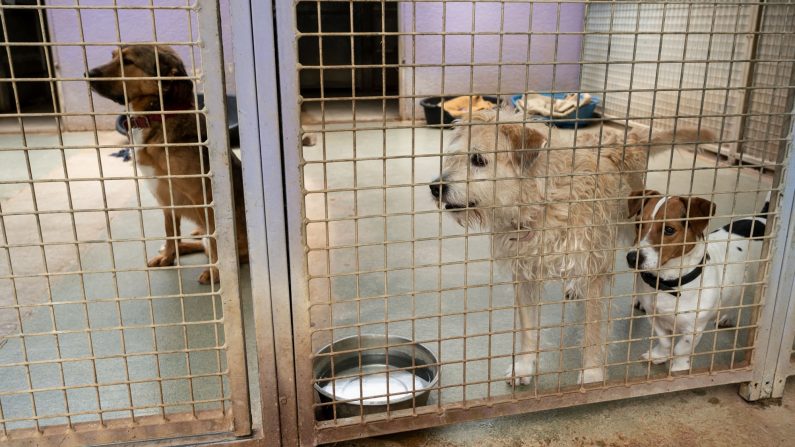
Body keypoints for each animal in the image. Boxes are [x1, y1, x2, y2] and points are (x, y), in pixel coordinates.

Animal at [88, 44, 247, 284]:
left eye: (128, 61)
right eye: (113, 56)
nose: (87, 73)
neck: (157, 117)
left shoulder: (203, 196)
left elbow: (215, 241)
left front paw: (216, 273)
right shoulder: (166, 199)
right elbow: (171, 232)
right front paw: (169, 256)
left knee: (213, 245)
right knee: (199, 242)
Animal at [430, 110, 716, 386]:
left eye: (478, 159)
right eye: (453, 158)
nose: (435, 187)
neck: (542, 201)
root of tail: (624, 136)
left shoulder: (594, 271)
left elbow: (592, 330)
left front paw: (591, 374)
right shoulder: (523, 274)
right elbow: (527, 328)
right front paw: (524, 366)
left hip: (634, 225)